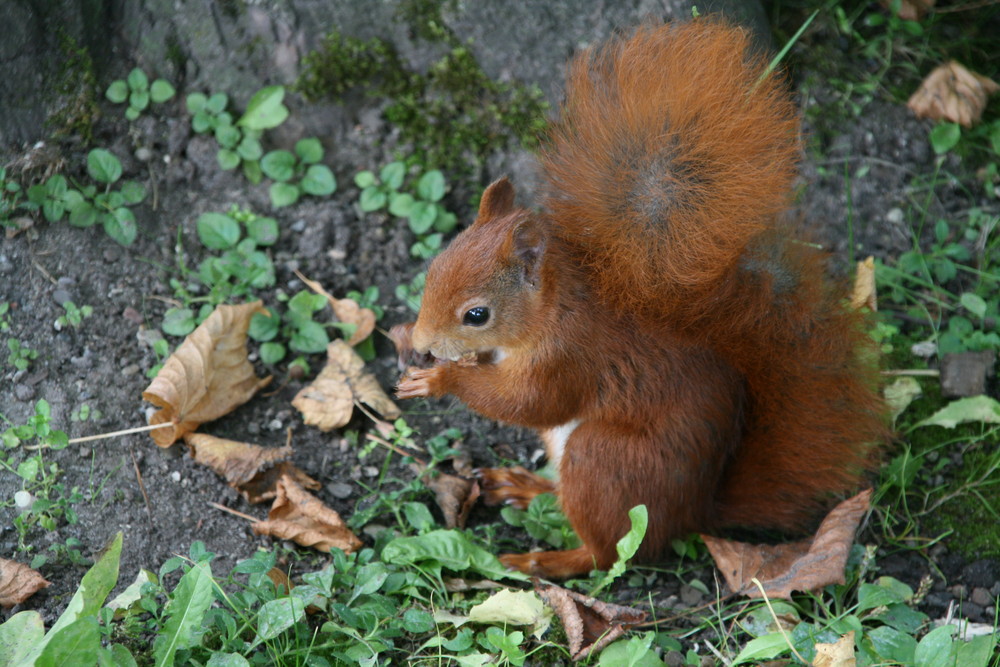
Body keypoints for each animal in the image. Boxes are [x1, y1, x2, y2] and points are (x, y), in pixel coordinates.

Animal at [390, 18, 892, 576]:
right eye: (433, 270)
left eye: (476, 314)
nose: (424, 343)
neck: (551, 310)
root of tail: (695, 512)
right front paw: (407, 343)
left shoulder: (571, 357)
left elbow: (527, 402)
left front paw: (440, 379)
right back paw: (526, 486)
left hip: (604, 461)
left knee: (608, 553)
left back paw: (543, 561)